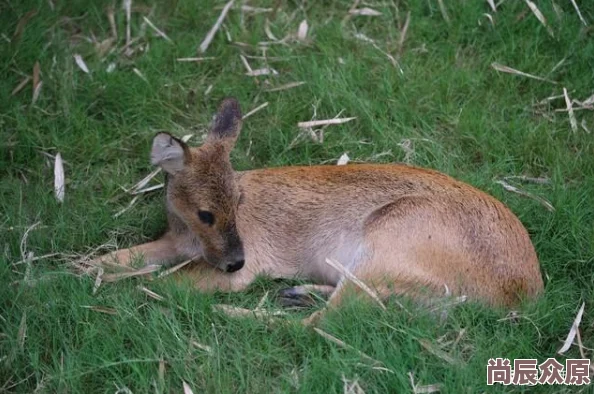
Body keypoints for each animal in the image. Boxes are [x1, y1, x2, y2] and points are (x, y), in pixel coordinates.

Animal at [88, 97, 540, 324]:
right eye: (205, 213)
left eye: (238, 202)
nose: (236, 261)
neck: (189, 238)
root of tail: (519, 293)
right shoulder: (175, 243)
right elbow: (120, 258)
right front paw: (75, 272)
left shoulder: (243, 263)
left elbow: (162, 282)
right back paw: (297, 293)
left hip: (390, 242)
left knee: (322, 325)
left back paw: (235, 312)